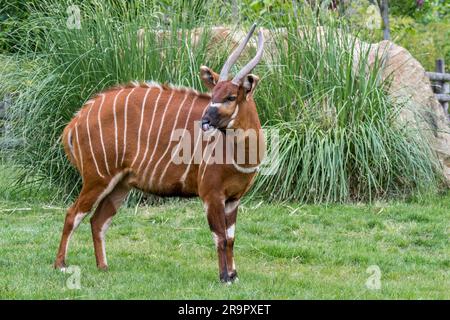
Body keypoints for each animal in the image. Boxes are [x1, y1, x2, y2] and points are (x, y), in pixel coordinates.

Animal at [53, 24, 264, 282]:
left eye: (231, 96)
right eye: (213, 94)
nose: (205, 121)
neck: (241, 154)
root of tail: (76, 121)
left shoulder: (234, 198)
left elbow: (231, 238)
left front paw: (233, 275)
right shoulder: (211, 194)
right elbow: (220, 237)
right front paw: (225, 277)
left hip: (120, 184)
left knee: (98, 220)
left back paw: (103, 266)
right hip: (97, 178)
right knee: (73, 214)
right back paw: (61, 265)